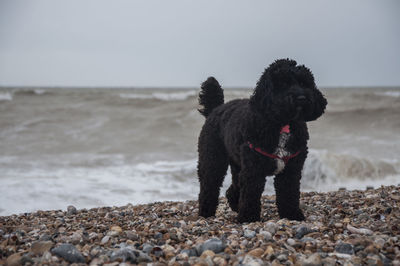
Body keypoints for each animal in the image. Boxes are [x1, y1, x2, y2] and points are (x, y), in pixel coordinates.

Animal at [198, 58, 328, 222]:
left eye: (304, 83)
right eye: (283, 83)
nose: (302, 98)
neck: (282, 123)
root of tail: (215, 109)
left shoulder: (291, 170)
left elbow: (289, 194)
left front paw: (292, 215)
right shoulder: (253, 170)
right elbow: (251, 195)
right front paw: (248, 218)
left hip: (237, 164)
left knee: (233, 188)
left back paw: (235, 205)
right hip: (213, 159)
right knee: (209, 185)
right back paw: (206, 212)